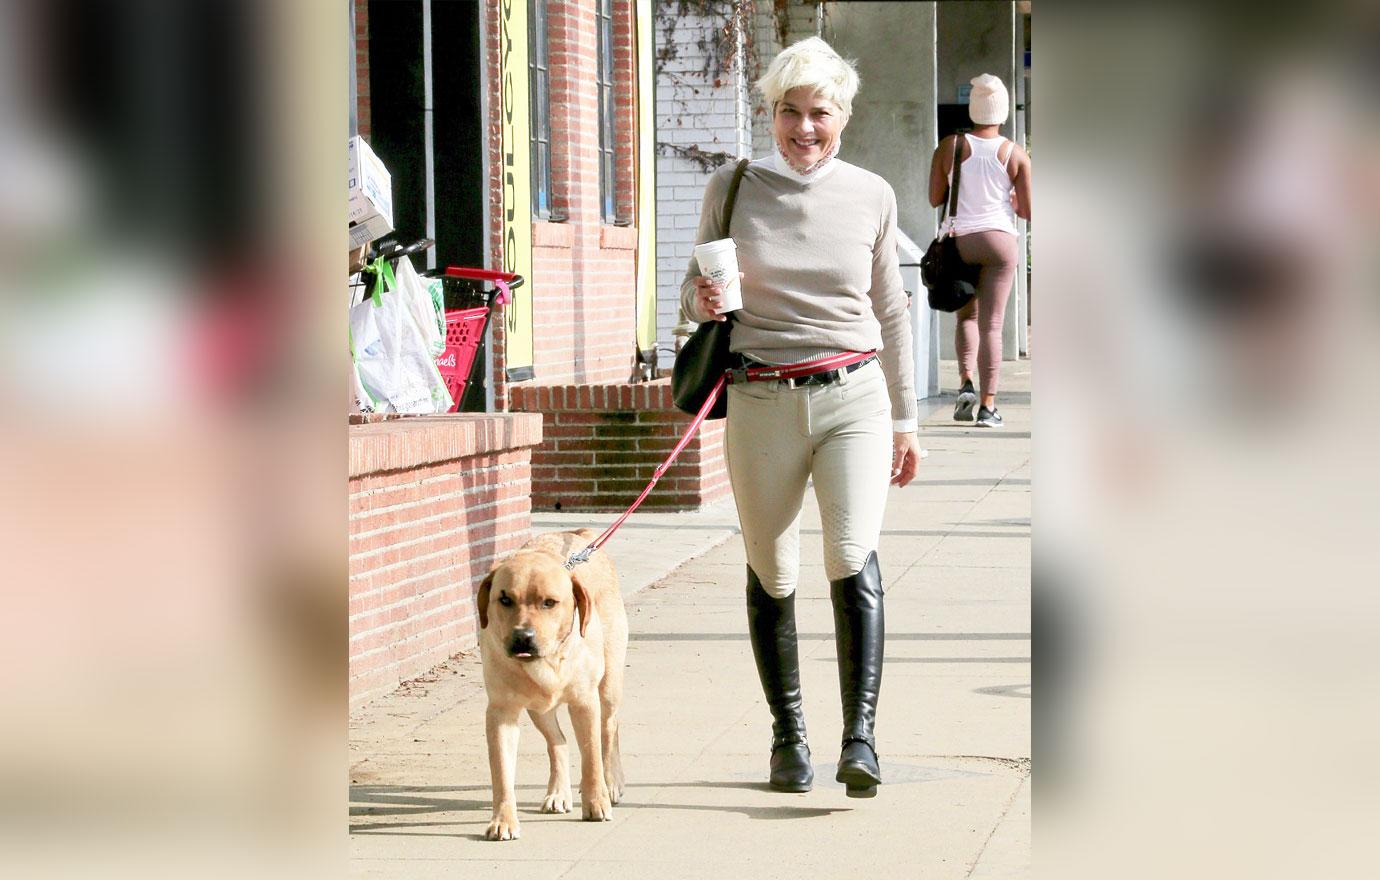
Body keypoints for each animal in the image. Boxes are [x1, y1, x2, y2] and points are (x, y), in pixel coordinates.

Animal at [474, 529, 626, 838]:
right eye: (505, 599)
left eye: (549, 602)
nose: (523, 637)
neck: (548, 661)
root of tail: (579, 533)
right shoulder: (501, 713)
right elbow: (502, 772)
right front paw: (503, 820)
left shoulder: (585, 703)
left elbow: (591, 756)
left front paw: (596, 801)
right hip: (538, 709)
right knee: (558, 742)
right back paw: (558, 792)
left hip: (609, 685)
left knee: (609, 730)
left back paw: (612, 781)